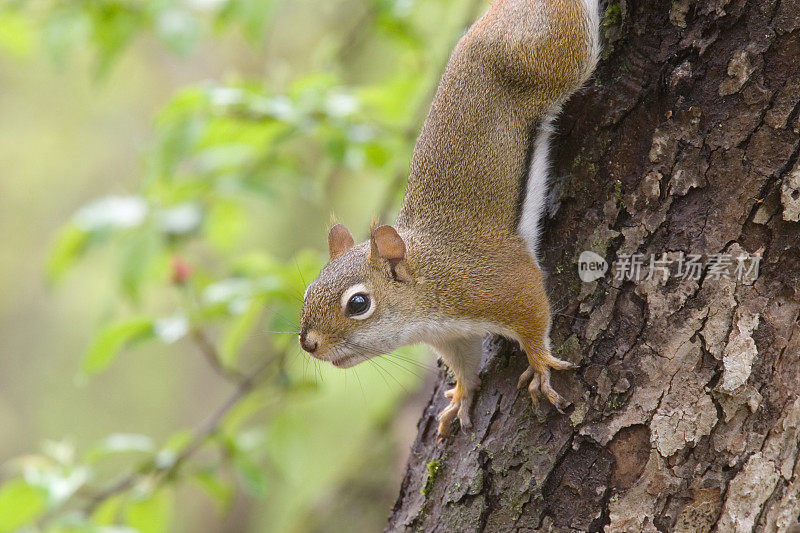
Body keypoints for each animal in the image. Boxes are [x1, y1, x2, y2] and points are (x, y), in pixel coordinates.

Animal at [296, 0, 596, 436]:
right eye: (307, 291)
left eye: (358, 304)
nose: (308, 343)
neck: (429, 285)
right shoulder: (454, 336)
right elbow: (465, 363)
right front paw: (460, 396)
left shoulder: (501, 282)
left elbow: (533, 314)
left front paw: (539, 364)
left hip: (558, 55)